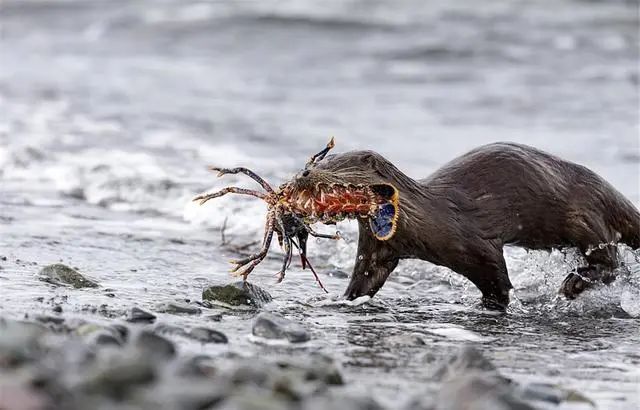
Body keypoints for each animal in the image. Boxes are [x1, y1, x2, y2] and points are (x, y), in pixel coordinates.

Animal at [292, 143, 640, 310]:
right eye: (316, 161)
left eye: (335, 167)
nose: (304, 173)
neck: (422, 217)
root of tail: (606, 190)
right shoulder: (378, 247)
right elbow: (365, 278)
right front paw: (341, 301)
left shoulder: (475, 243)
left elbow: (497, 278)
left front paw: (492, 305)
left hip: (583, 217)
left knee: (611, 262)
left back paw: (573, 284)